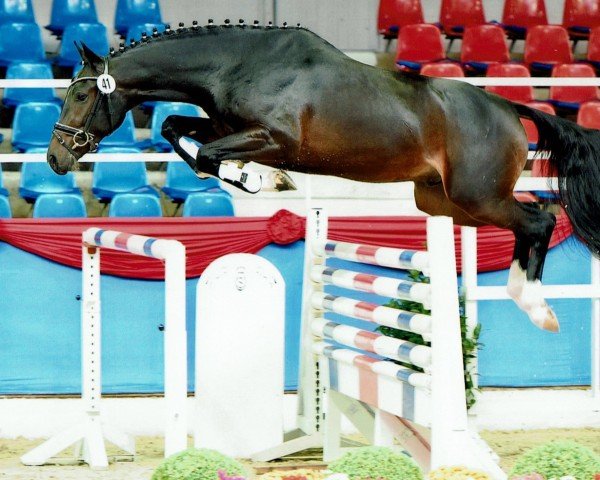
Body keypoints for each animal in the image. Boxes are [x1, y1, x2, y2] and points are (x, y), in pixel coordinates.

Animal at [48, 20, 600, 332]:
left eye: (82, 94)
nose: (55, 158)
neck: (234, 64)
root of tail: (507, 106)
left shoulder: (274, 139)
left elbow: (204, 152)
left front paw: (261, 182)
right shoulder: (226, 126)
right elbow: (175, 129)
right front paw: (257, 180)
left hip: (477, 197)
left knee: (539, 221)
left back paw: (536, 307)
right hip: (445, 203)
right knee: (529, 222)